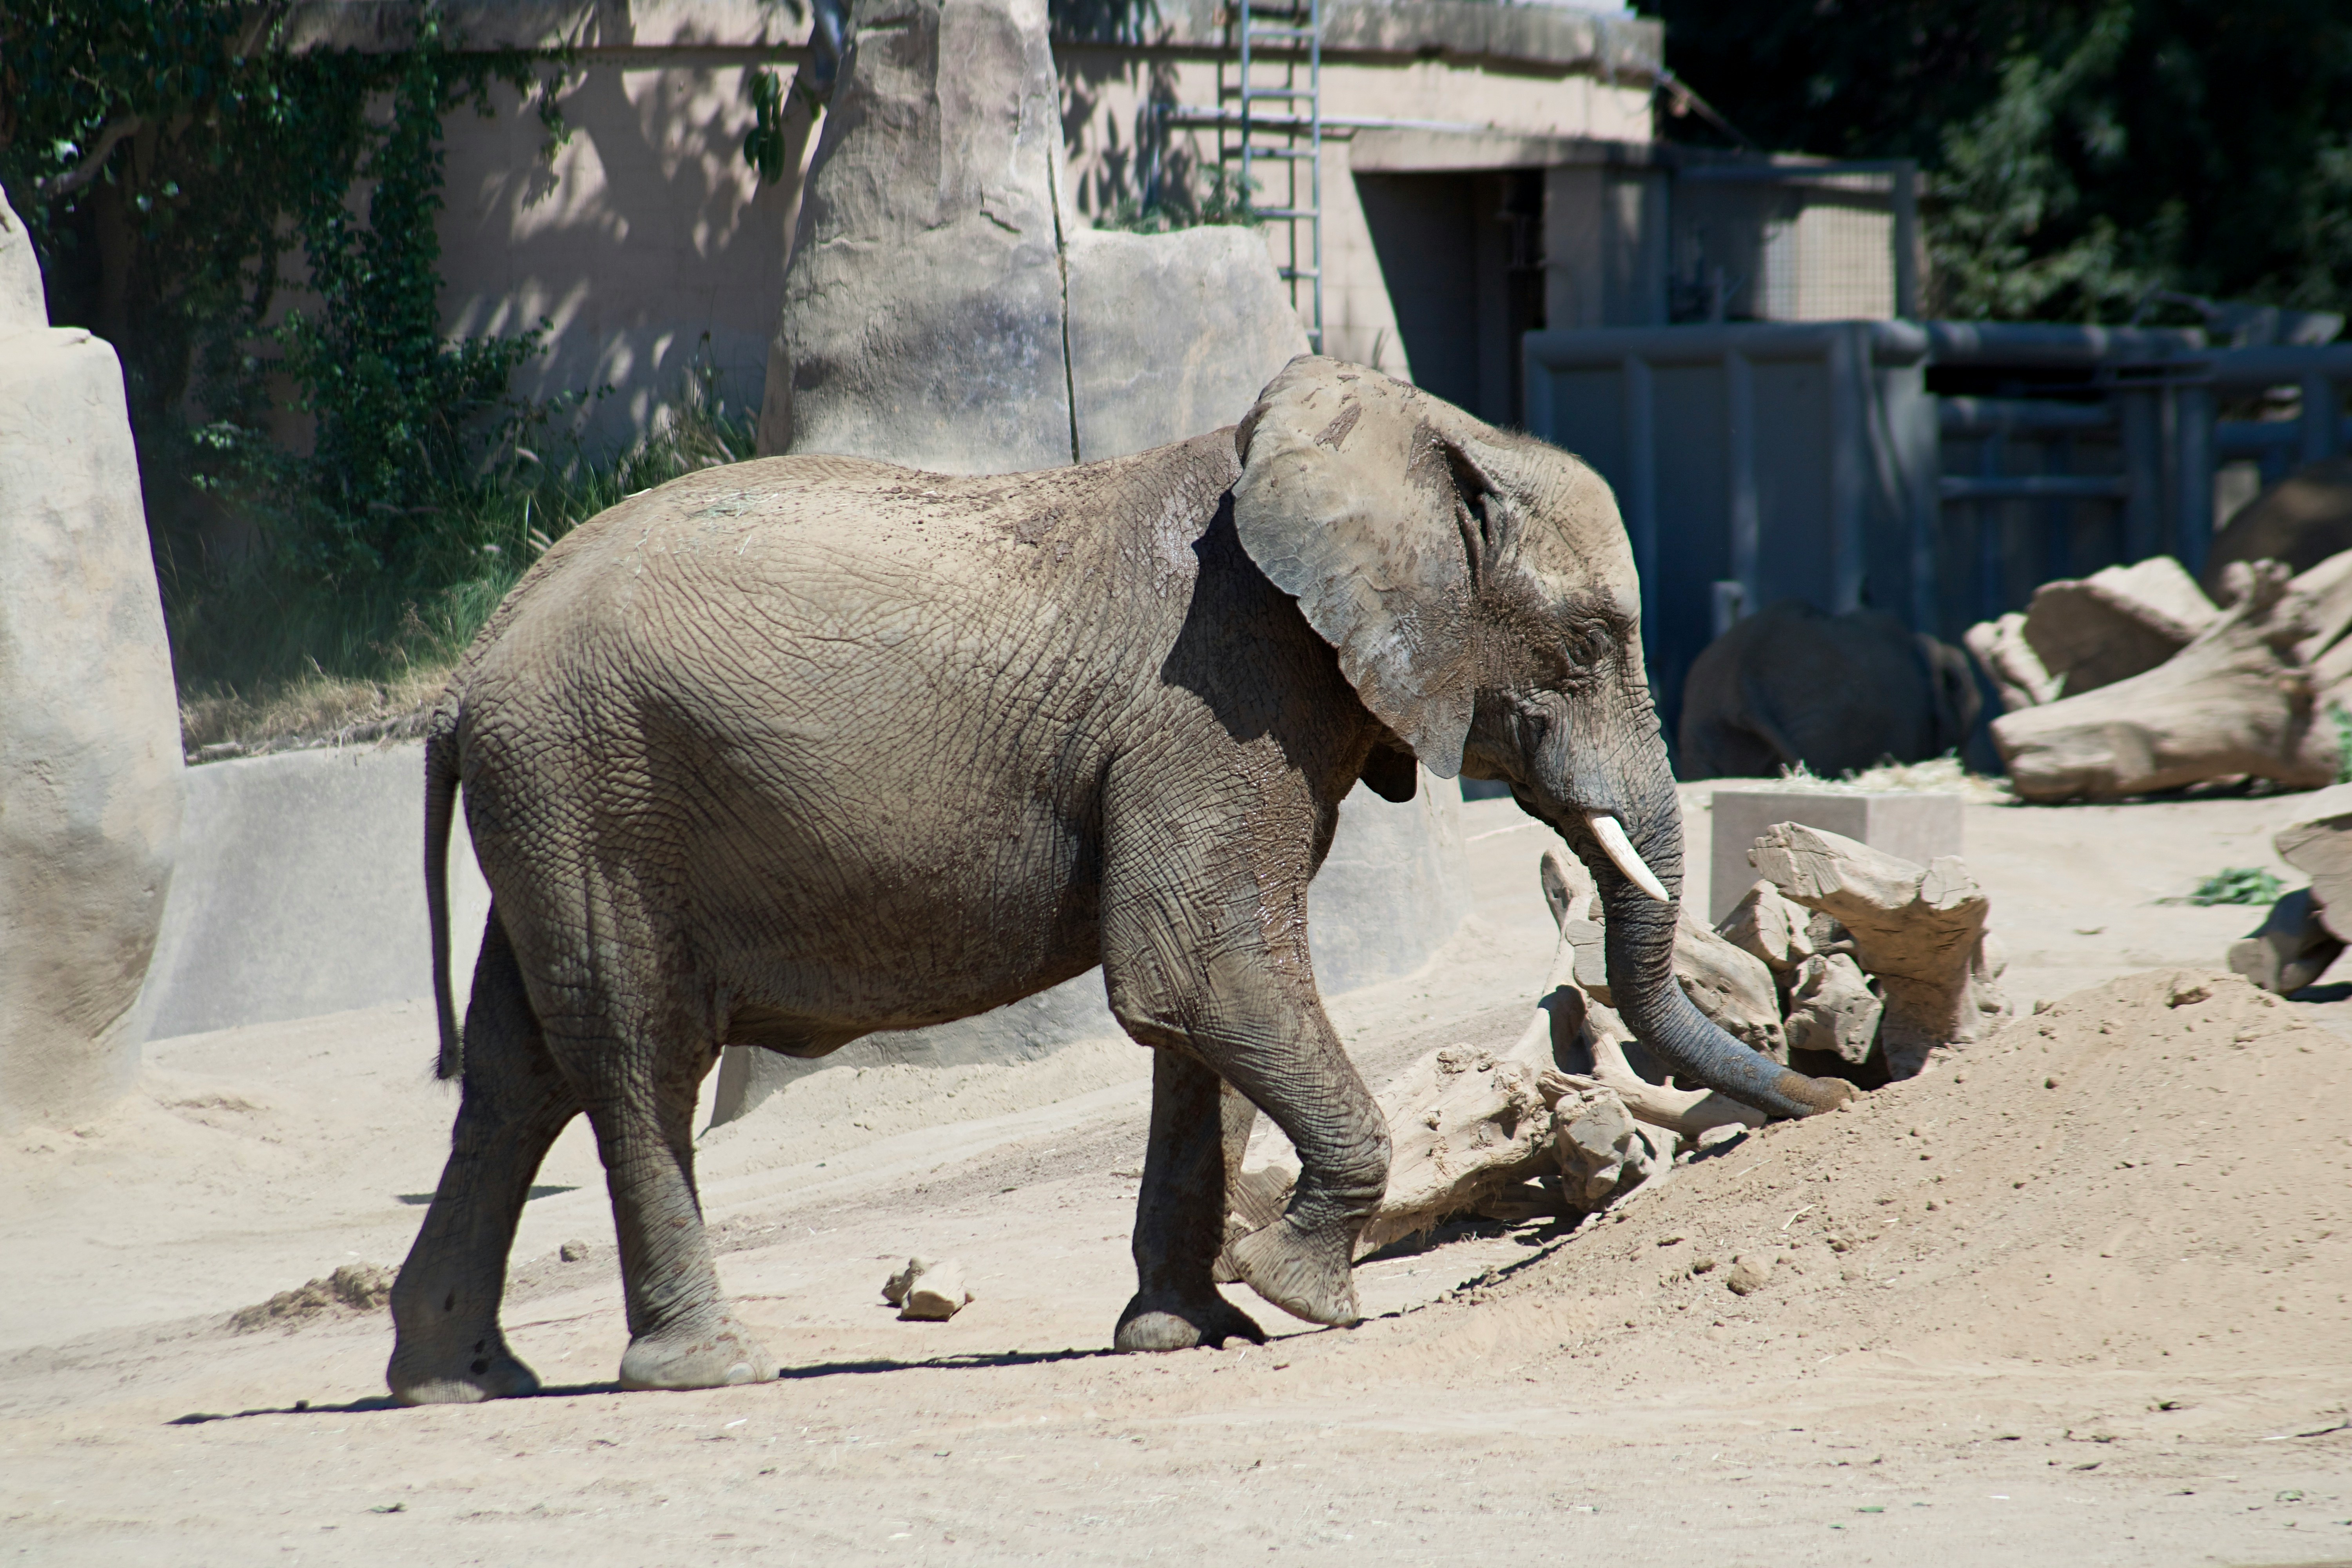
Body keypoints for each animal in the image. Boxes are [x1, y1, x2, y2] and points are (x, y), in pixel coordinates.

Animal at [386, 359, 1853, 1410]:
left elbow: (1197, 1017)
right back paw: (707, 1371)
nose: (1833, 1100)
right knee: (634, 1058)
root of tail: (462, 681)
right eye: (1592, 641)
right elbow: (1203, 972)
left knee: (517, 1075)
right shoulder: (1213, 700)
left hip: (557, 805)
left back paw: (459, 1383)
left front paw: (1192, 1332)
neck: (1391, 430)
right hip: (597, 792)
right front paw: (1303, 1302)